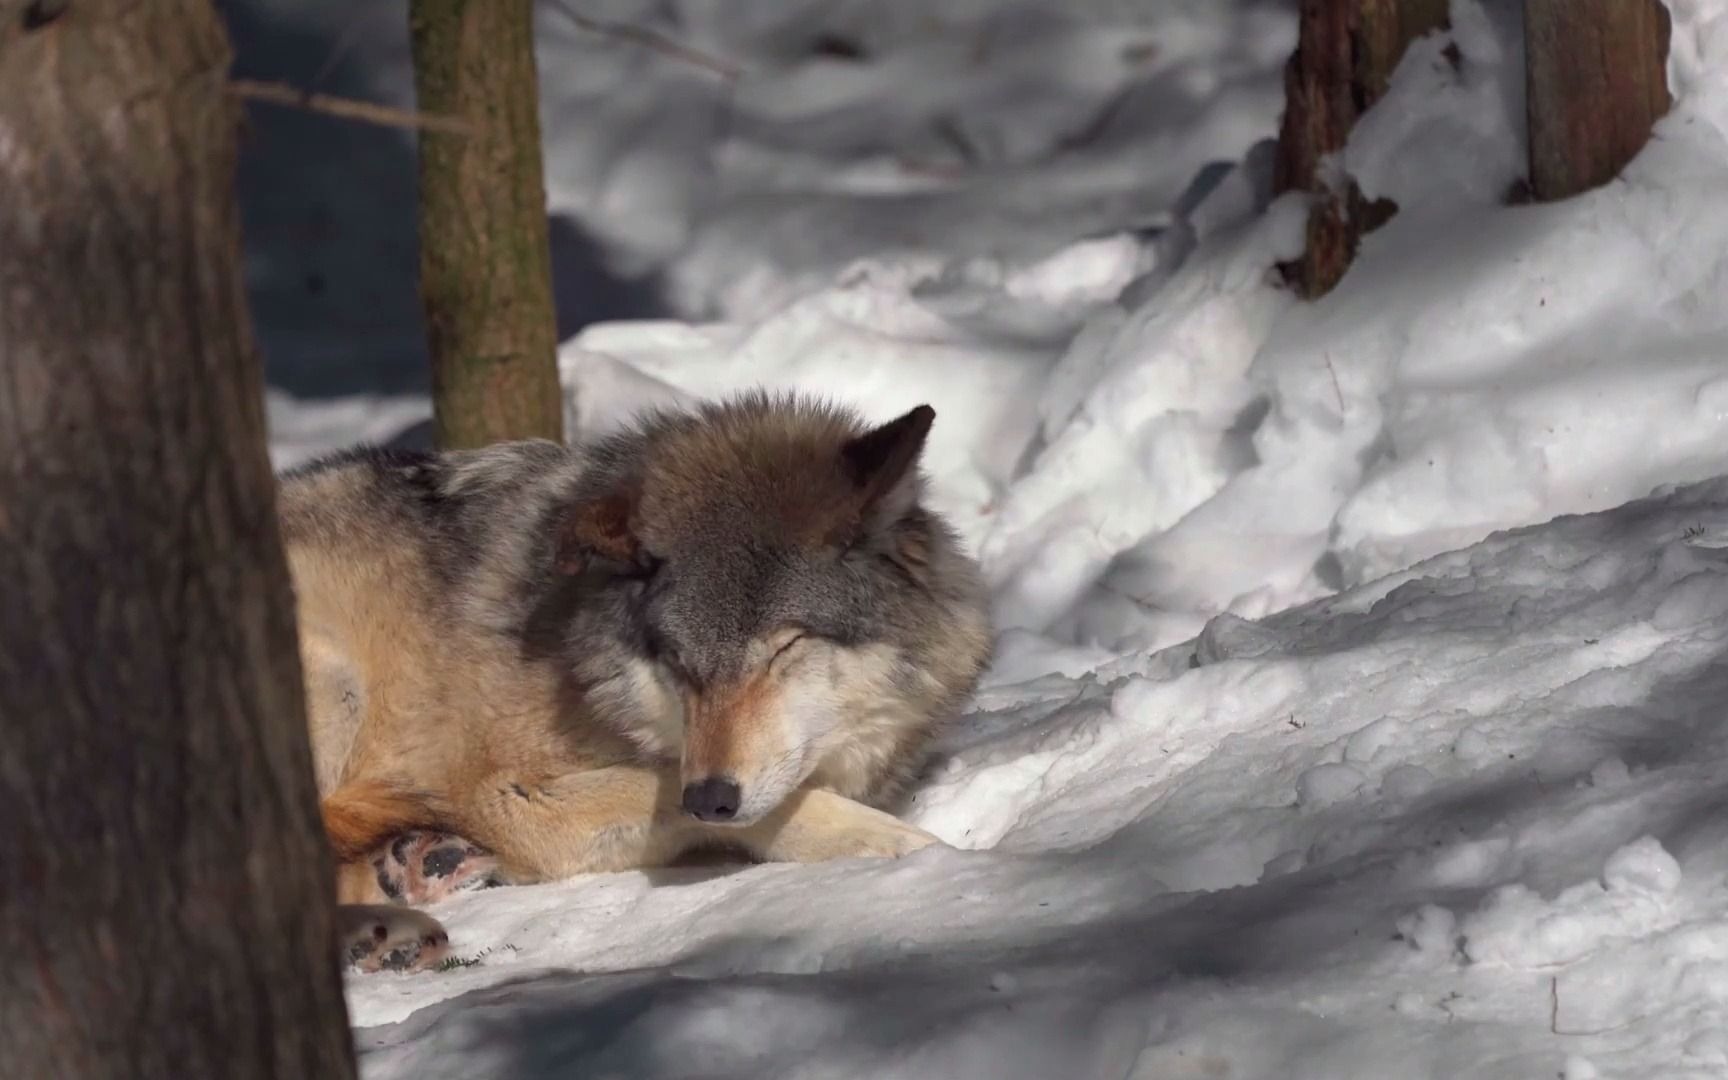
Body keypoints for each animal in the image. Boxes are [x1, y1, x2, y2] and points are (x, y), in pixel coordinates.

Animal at [278, 388, 995, 967]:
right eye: (676, 658)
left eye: (784, 647)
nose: (712, 795)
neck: (583, 668)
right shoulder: (507, 796)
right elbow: (740, 804)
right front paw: (915, 850)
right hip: (335, 680)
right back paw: (379, 927)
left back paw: (413, 872)